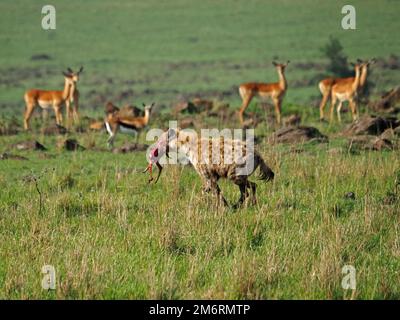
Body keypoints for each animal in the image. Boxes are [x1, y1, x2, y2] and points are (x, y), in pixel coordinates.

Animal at [145, 129, 276, 209]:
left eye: (160, 139)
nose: (153, 149)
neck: (188, 146)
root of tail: (258, 154)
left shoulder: (208, 175)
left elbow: (215, 192)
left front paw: (224, 207)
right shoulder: (211, 176)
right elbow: (206, 190)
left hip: (235, 174)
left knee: (248, 188)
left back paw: (240, 205)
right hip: (239, 175)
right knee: (249, 188)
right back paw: (242, 204)